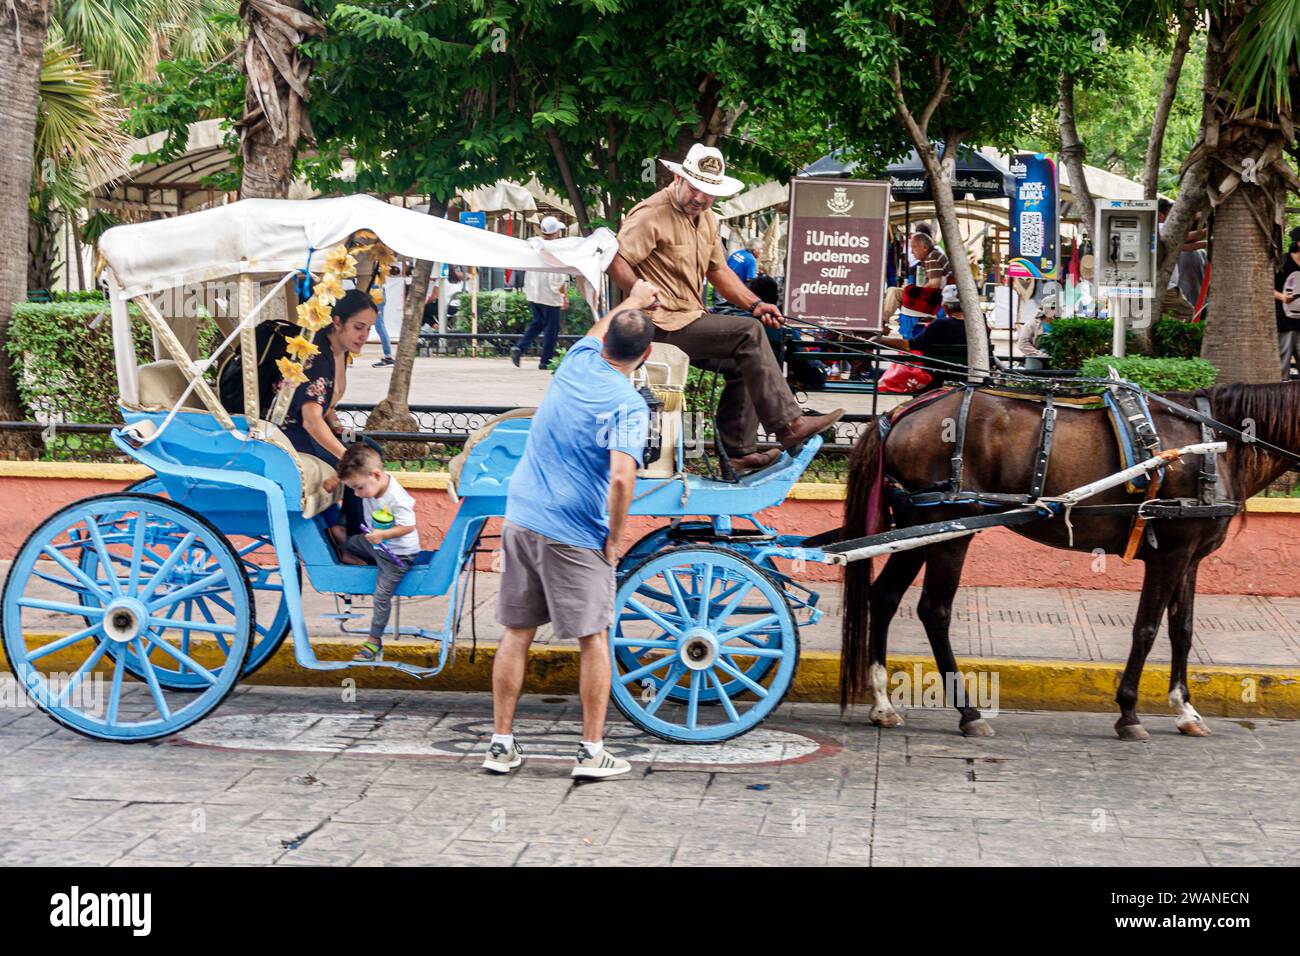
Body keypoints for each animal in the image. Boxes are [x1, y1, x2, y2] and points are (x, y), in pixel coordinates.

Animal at [837, 382, 1294, 738]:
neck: (1216, 443)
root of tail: (898, 413)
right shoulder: (1170, 554)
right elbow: (1146, 630)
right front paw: (1129, 712)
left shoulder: (1190, 557)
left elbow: (1182, 630)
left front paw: (1185, 710)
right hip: (948, 528)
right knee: (934, 610)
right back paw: (968, 711)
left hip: (916, 529)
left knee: (884, 597)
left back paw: (882, 704)